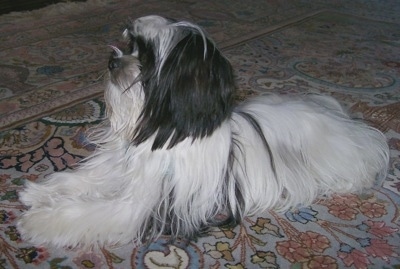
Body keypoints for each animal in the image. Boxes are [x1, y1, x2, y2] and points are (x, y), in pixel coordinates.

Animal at [17, 15, 390, 247]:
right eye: (130, 45)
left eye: (147, 61)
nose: (113, 60)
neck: (163, 130)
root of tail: (353, 125)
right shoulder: (121, 170)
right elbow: (81, 180)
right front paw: (38, 193)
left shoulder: (142, 205)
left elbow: (86, 211)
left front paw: (38, 221)